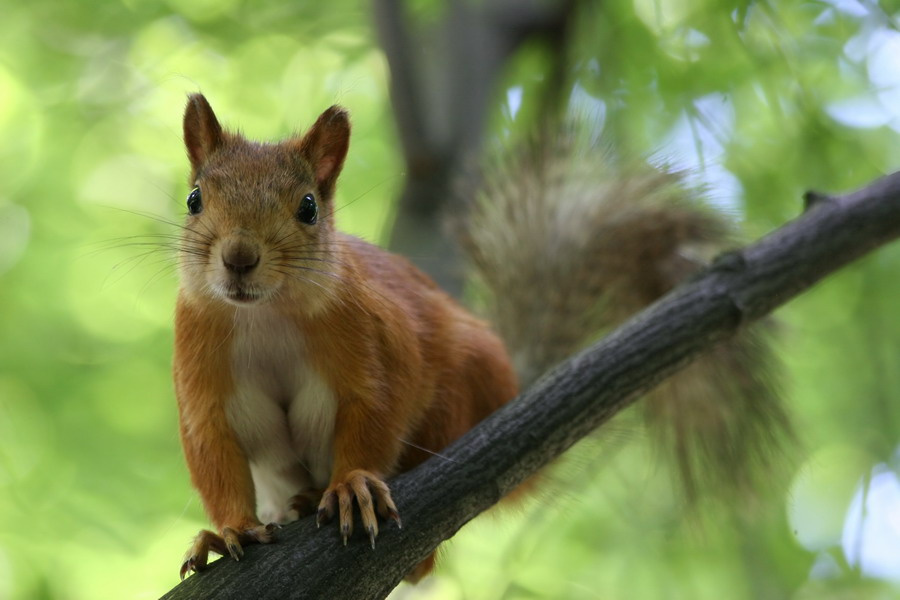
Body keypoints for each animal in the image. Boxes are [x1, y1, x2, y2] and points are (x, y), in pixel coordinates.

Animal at [173, 94, 791, 582]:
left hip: (464, 379)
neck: (266, 315)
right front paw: (227, 530)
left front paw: (352, 483)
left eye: (307, 207)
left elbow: (374, 412)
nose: (239, 258)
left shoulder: (373, 341)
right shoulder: (200, 372)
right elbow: (212, 452)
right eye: (194, 199)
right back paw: (298, 504)